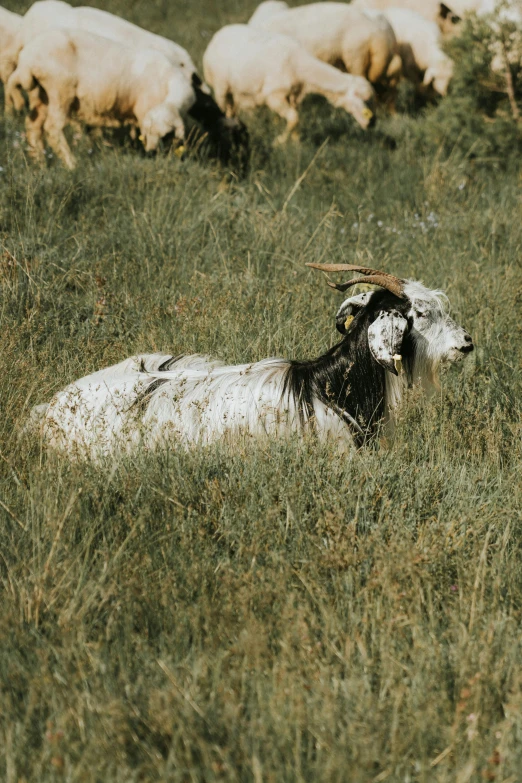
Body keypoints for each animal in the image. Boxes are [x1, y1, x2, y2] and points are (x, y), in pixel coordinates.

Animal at [5, 28, 196, 168]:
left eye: (163, 134)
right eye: (149, 131)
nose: (150, 151)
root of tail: (27, 59)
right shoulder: (144, 110)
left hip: (40, 94)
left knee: (33, 125)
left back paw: (40, 163)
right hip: (60, 89)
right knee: (52, 128)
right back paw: (71, 164)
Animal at [200, 23, 374, 144]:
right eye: (360, 98)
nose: (373, 123)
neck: (299, 65)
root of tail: (218, 35)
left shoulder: (294, 96)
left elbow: (295, 120)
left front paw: (297, 144)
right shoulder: (274, 96)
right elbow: (293, 118)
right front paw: (279, 142)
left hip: (235, 91)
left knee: (231, 111)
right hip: (220, 87)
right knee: (222, 109)